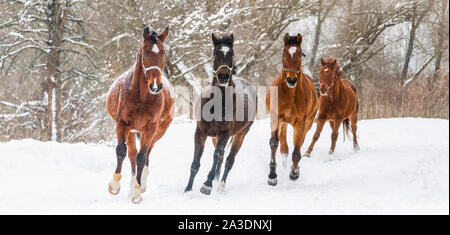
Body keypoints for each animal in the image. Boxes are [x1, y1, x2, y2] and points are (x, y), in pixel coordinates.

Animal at [107, 26, 174, 204]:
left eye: (163, 52)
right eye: (145, 53)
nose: (156, 86)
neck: (142, 96)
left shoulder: (151, 128)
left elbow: (142, 157)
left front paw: (137, 192)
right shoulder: (122, 123)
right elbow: (121, 150)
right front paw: (114, 186)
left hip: (157, 132)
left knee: (146, 154)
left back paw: (140, 184)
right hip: (131, 131)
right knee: (131, 154)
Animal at [185, 32, 256, 195]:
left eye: (232, 53)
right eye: (215, 52)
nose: (223, 76)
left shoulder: (225, 133)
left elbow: (217, 155)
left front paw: (207, 185)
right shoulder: (201, 132)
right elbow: (196, 161)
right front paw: (188, 188)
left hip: (240, 135)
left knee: (229, 160)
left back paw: (221, 185)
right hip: (215, 137)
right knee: (222, 157)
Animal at [266, 33, 318, 185]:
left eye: (300, 54)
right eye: (284, 53)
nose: (291, 80)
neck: (290, 93)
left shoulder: (301, 123)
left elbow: (297, 150)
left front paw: (294, 173)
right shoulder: (276, 118)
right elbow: (274, 143)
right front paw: (272, 175)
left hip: (307, 123)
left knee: (299, 143)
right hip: (282, 123)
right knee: (283, 145)